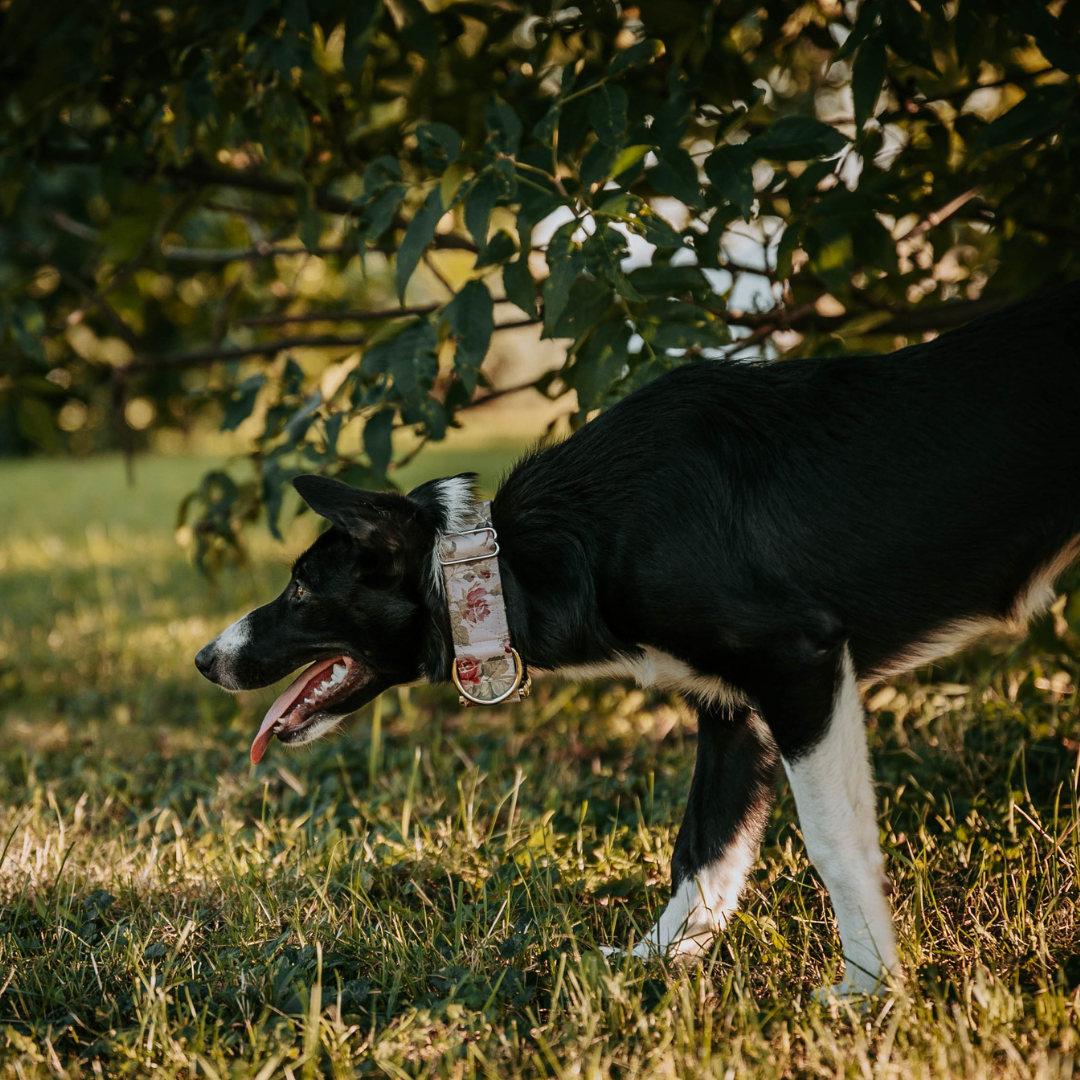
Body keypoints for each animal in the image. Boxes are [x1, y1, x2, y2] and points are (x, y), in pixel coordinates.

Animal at [194, 285, 1080, 993]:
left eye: (302, 587)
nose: (206, 659)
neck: (518, 559)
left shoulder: (800, 665)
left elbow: (832, 841)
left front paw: (869, 989)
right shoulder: (734, 713)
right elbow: (704, 849)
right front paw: (656, 963)